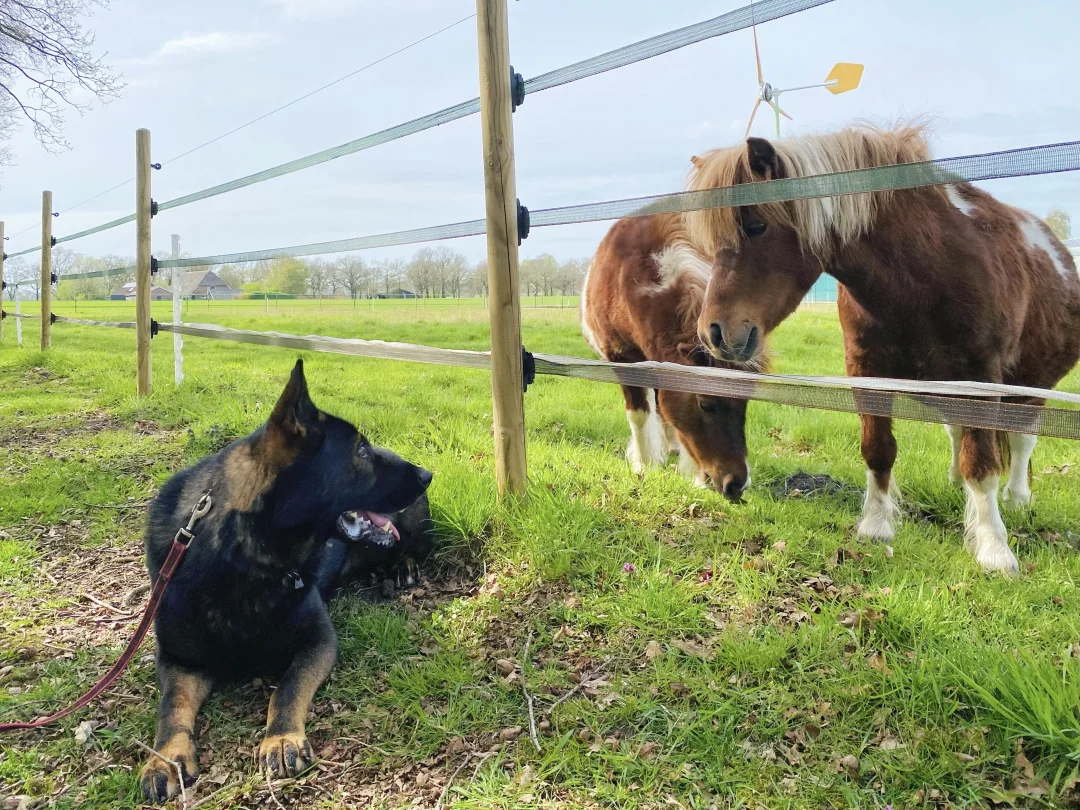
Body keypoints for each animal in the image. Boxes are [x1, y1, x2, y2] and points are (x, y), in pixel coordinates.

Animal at [581, 212, 751, 500]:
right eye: (706, 404)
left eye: (746, 403)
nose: (737, 484)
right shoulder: (623, 359)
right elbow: (639, 413)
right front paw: (645, 463)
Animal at [685, 123, 1080, 574]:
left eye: (756, 225)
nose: (714, 333)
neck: (923, 274)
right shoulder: (867, 370)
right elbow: (878, 451)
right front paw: (876, 527)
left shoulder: (982, 378)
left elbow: (982, 463)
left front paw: (994, 551)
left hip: (1031, 387)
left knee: (1020, 440)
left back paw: (1016, 500)